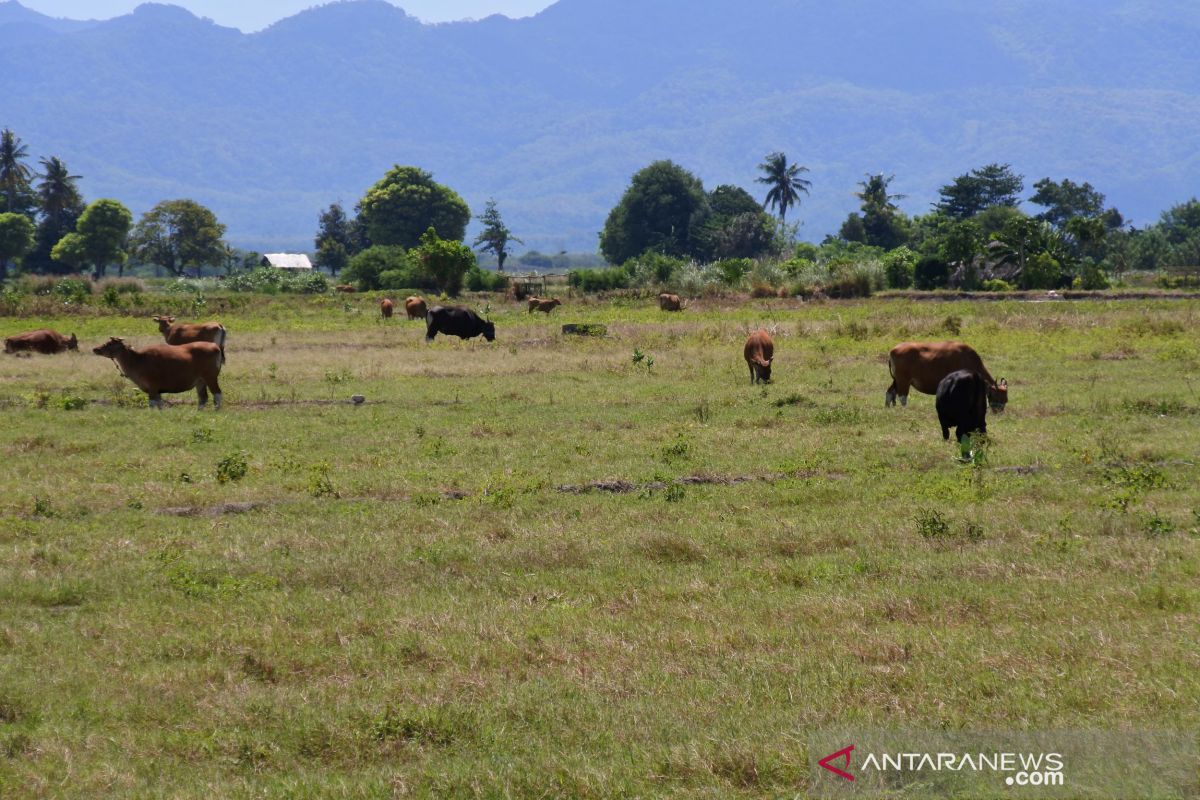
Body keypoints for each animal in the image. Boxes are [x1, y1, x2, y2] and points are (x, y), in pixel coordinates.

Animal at [93, 335, 225, 410]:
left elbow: (152, 404)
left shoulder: (152, 387)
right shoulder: (157, 391)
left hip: (211, 377)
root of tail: (215, 346)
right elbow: (160, 404)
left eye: (110, 344)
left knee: (217, 393)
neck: (138, 360)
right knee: (203, 397)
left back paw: (217, 409)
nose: (96, 349)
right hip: (200, 381)